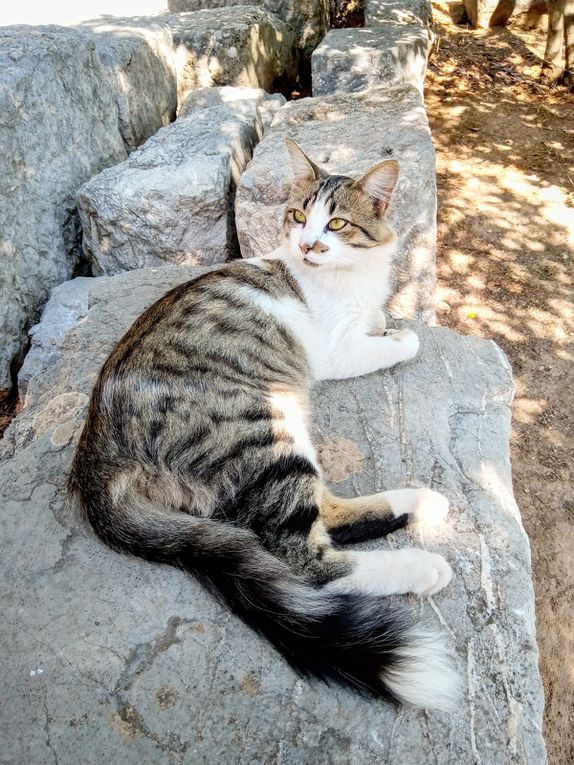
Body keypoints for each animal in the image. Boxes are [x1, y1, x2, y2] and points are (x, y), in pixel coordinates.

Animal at [70, 139, 462, 712]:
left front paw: (385, 321)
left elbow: (381, 321)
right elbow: (399, 341)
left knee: (326, 512)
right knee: (307, 562)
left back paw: (421, 501)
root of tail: (94, 451)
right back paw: (421, 564)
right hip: (263, 429)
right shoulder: (336, 350)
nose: (307, 245)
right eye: (299, 216)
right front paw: (400, 336)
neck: (351, 276)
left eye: (337, 223)